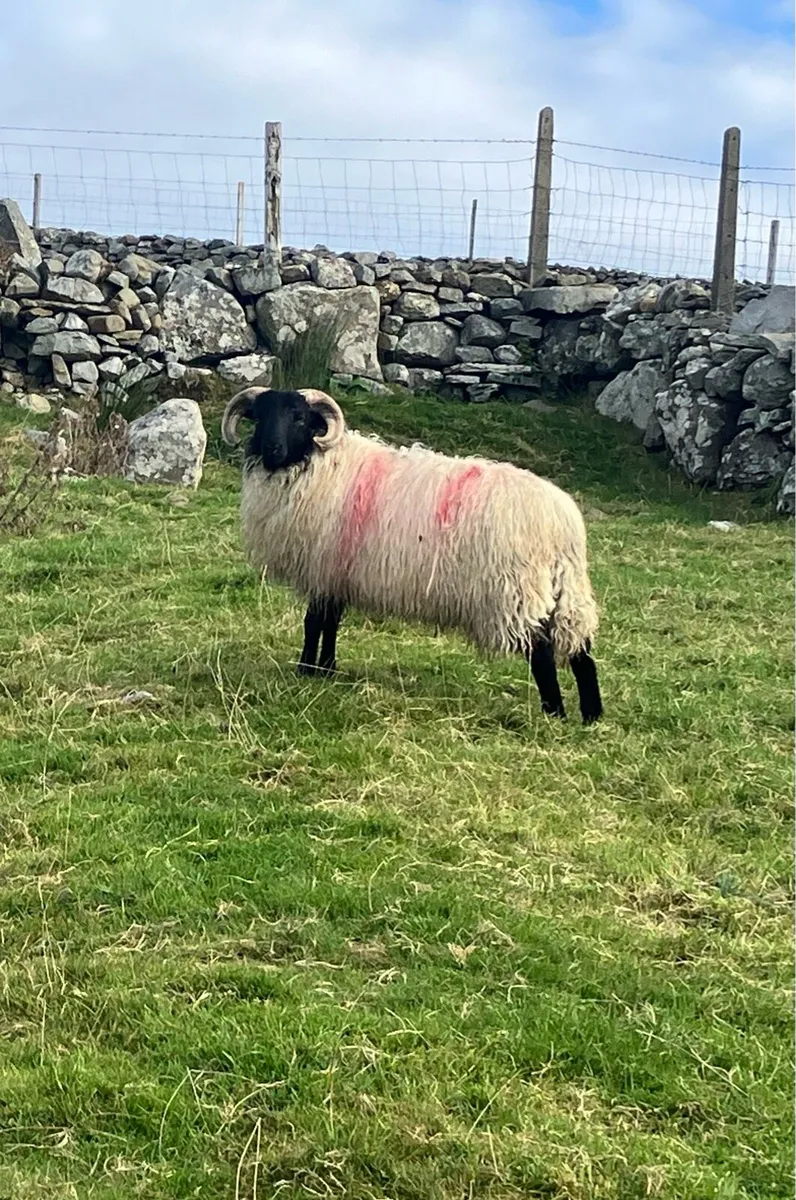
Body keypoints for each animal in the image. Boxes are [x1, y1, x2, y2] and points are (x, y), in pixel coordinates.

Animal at [221, 386, 603, 724]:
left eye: (299, 417)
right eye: (260, 416)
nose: (271, 448)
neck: (318, 464)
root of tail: (562, 524)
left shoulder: (322, 566)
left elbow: (314, 623)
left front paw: (306, 669)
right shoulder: (338, 570)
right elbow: (331, 622)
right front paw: (326, 669)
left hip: (516, 592)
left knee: (542, 655)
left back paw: (553, 712)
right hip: (563, 592)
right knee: (581, 651)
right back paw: (590, 716)